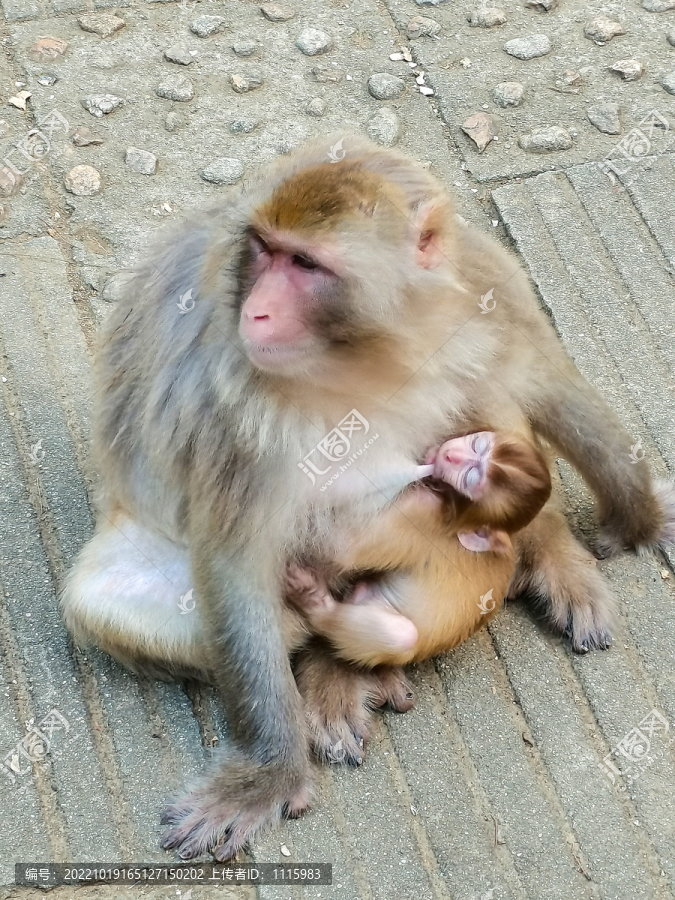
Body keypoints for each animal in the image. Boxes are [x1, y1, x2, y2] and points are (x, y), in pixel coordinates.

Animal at [288, 428, 552, 668]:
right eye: (477, 445)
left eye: (470, 478)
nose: (451, 456)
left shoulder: (425, 510)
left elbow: (340, 547)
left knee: (401, 636)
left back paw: (317, 604)